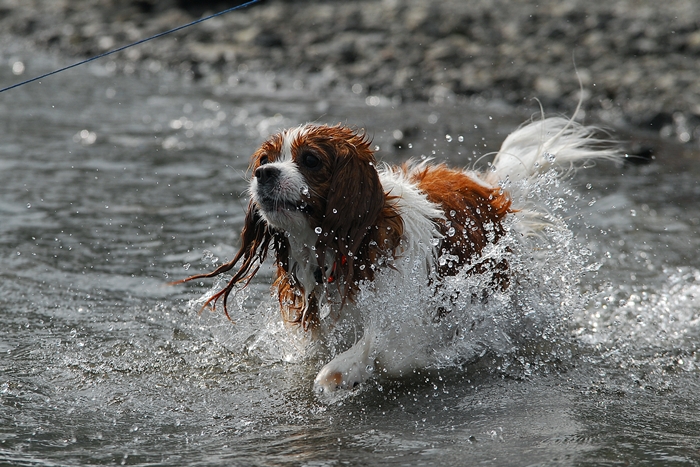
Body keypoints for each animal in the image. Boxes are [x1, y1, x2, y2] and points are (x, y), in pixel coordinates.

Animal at [176, 116, 616, 392]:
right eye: (266, 159)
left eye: (310, 160)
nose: (263, 174)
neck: (346, 243)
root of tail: (491, 188)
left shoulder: (400, 313)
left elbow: (375, 353)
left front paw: (338, 377)